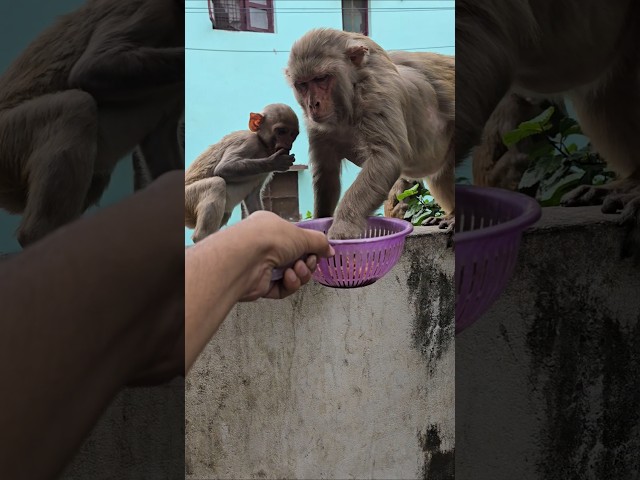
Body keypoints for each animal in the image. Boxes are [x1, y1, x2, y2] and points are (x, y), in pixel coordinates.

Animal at [0, 0, 184, 247]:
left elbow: (159, 139)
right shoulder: (153, 8)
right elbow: (93, 68)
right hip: (8, 137)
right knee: (75, 105)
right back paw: (40, 237)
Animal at [184, 103, 299, 243]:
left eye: (293, 135)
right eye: (281, 132)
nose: (288, 144)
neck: (263, 147)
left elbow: (252, 198)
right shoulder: (249, 141)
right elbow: (223, 168)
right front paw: (275, 162)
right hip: (187, 197)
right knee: (216, 184)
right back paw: (202, 238)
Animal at [285, 28, 455, 240]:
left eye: (321, 78)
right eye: (302, 84)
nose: (312, 104)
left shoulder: (375, 95)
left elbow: (385, 159)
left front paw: (342, 229)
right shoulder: (316, 126)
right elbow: (326, 175)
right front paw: (319, 222)